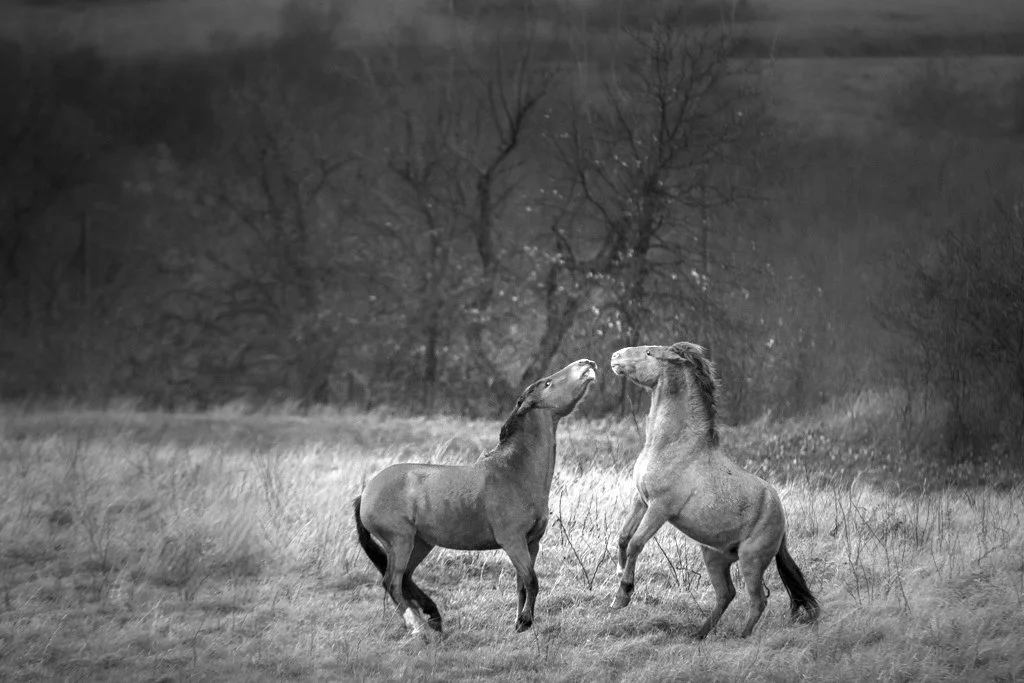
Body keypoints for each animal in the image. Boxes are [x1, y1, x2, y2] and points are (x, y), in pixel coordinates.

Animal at [353, 359, 597, 638]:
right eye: (548, 383)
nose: (587, 363)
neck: (514, 473)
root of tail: (365, 493)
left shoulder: (531, 542)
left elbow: (522, 583)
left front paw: (519, 622)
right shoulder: (513, 541)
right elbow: (532, 580)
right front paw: (525, 621)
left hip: (420, 543)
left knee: (404, 579)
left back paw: (433, 617)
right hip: (400, 541)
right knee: (392, 582)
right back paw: (418, 628)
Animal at [610, 342, 819, 638]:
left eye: (650, 352)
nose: (615, 357)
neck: (673, 445)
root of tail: (781, 522)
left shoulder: (660, 508)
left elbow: (636, 543)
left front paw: (623, 594)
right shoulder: (642, 500)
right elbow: (623, 537)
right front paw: (618, 578)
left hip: (751, 560)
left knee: (757, 600)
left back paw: (741, 638)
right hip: (714, 557)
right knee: (726, 594)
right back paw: (698, 635)